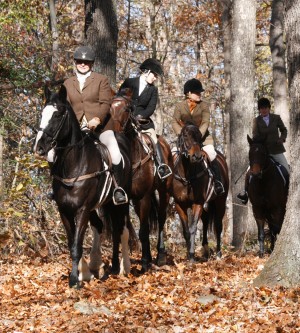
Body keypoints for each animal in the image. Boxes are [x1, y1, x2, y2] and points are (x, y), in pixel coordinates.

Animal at [33, 84, 134, 286]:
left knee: (120, 230)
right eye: (42, 113)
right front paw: (81, 273)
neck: (74, 164)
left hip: (120, 204)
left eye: (57, 115)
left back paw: (121, 267)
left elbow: (77, 245)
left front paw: (74, 280)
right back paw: (103, 266)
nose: (39, 147)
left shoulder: (82, 210)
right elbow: (72, 242)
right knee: (104, 227)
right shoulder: (65, 211)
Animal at [110, 89, 172, 272]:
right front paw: (117, 266)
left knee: (161, 218)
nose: (114, 132)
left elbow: (143, 231)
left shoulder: (143, 197)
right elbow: (118, 231)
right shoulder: (123, 200)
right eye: (110, 108)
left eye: (126, 109)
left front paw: (144, 261)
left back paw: (159, 256)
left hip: (163, 191)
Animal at [172, 123, 229, 260]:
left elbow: (192, 228)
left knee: (218, 225)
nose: (197, 156)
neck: (187, 176)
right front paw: (188, 255)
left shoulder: (197, 203)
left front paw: (192, 257)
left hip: (220, 201)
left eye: (199, 136)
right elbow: (186, 231)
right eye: (185, 135)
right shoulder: (179, 204)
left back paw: (218, 254)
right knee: (205, 221)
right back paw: (206, 251)